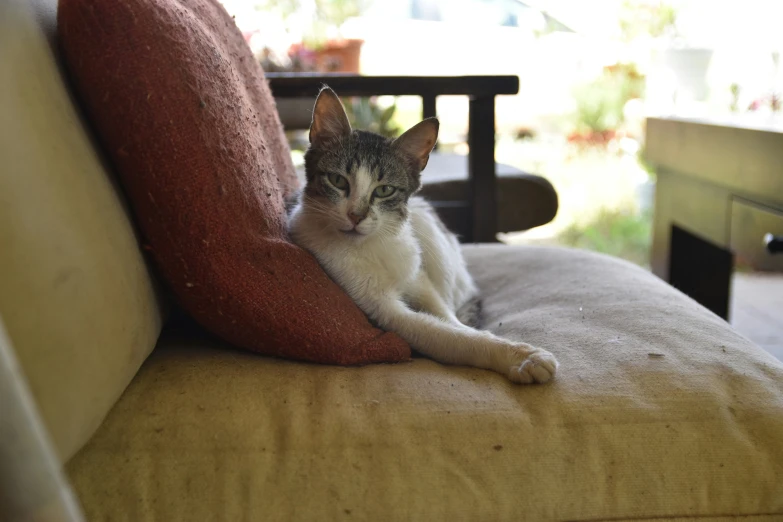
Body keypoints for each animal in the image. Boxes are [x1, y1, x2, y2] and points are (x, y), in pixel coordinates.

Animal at [288, 87, 556, 382]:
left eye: (384, 190)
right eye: (338, 181)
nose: (356, 216)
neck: (374, 243)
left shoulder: (419, 279)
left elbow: (446, 316)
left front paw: (484, 336)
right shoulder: (380, 307)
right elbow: (445, 335)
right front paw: (523, 356)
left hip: (427, 224)